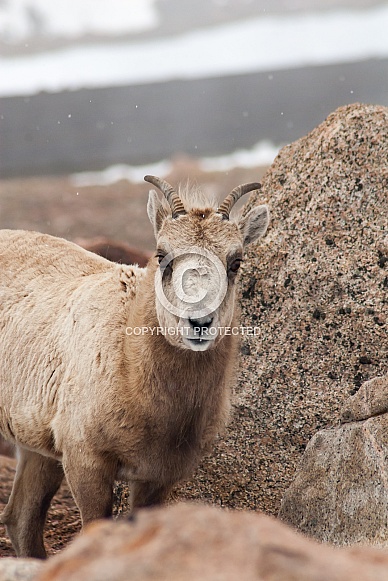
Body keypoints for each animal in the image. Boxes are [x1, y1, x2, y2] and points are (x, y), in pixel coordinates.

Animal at [0, 176, 270, 556]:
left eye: (236, 261)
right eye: (161, 255)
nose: (199, 322)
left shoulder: (158, 477)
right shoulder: (85, 461)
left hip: (38, 449)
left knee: (21, 518)